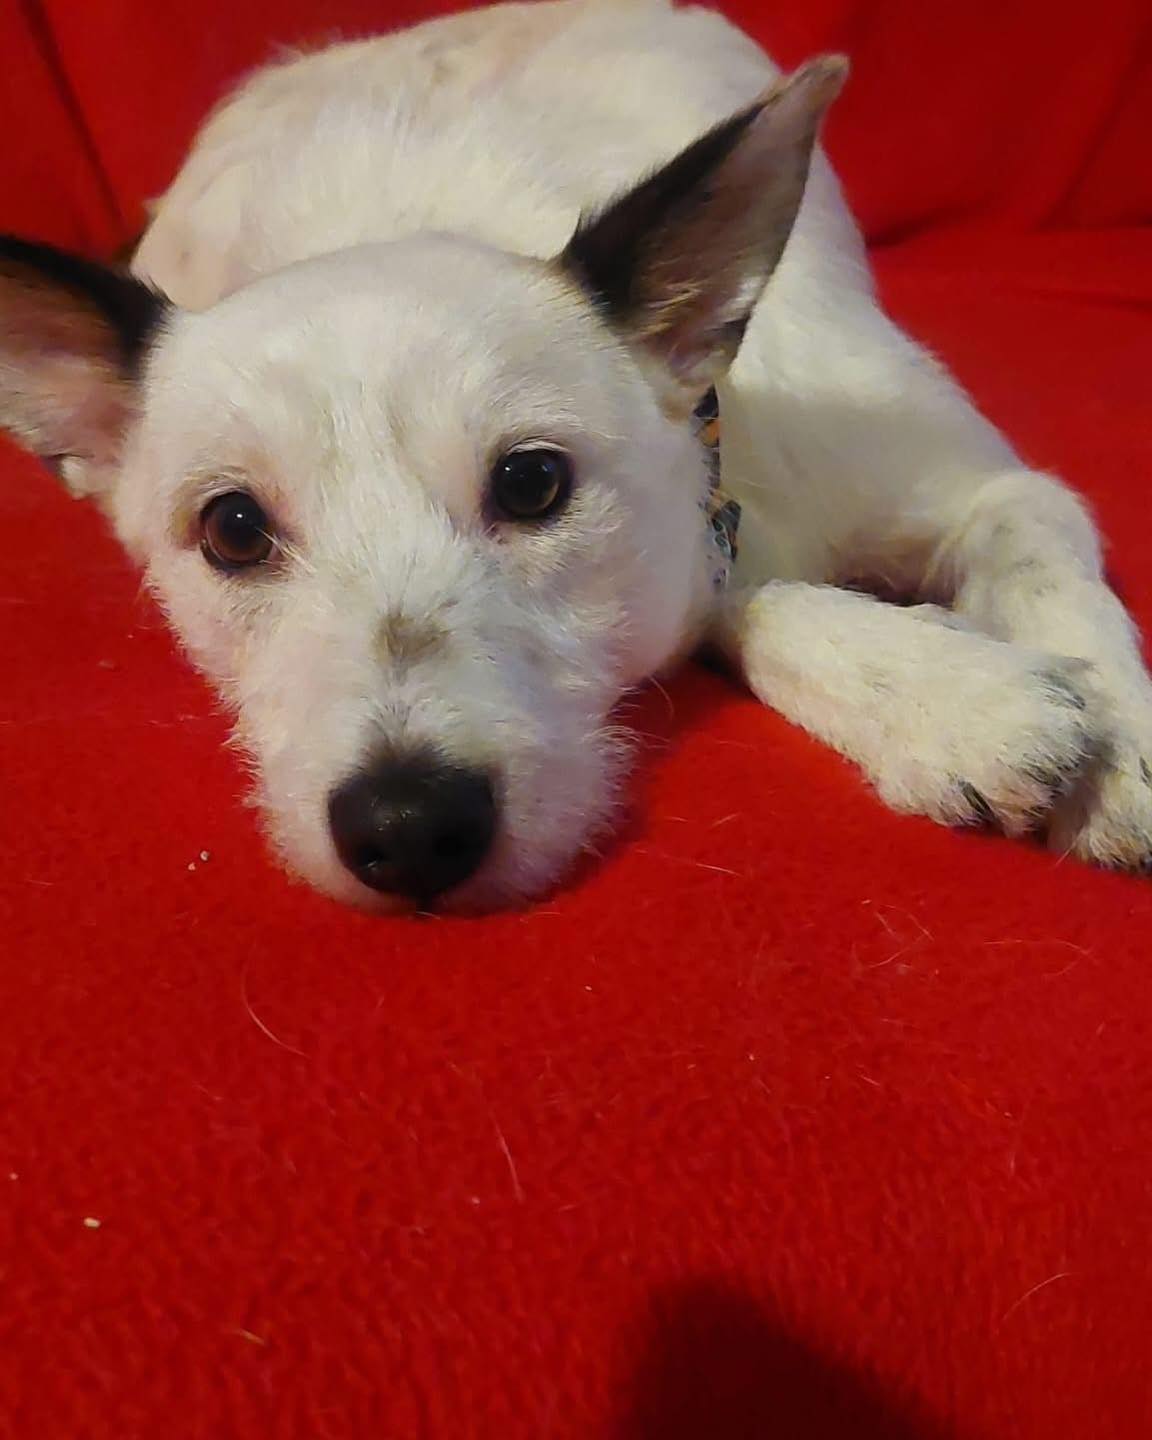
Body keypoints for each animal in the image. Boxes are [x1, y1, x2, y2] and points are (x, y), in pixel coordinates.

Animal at [1, 0, 1149, 911]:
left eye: (531, 482)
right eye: (233, 530)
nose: (407, 826)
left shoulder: (968, 480)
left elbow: (1037, 550)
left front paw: (1122, 743)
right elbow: (746, 602)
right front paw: (946, 697)